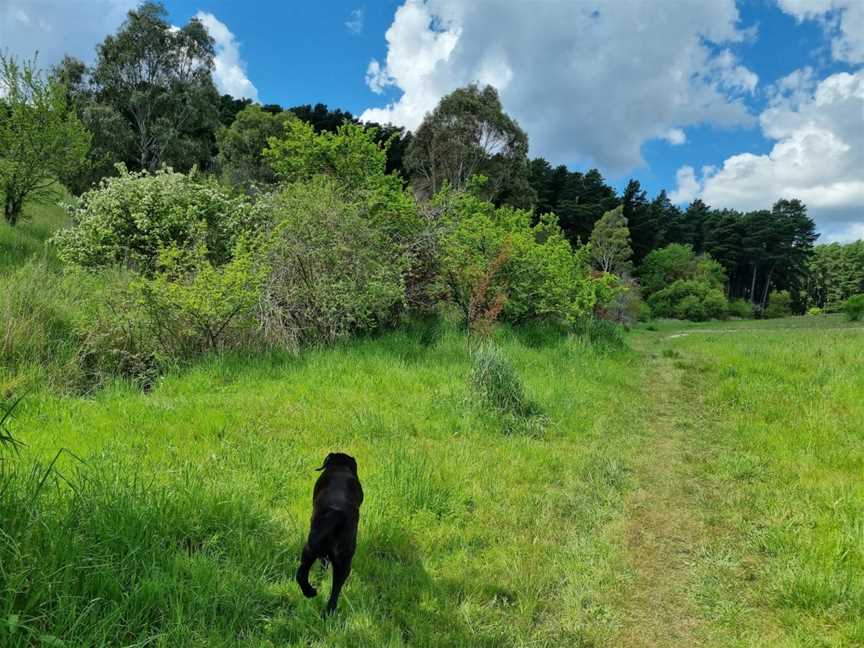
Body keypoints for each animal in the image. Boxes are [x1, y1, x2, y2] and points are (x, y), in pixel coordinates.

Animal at [298, 450, 362, 612]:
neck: (340, 468)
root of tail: (336, 514)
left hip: (310, 550)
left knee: (301, 574)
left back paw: (310, 592)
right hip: (342, 562)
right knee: (335, 591)